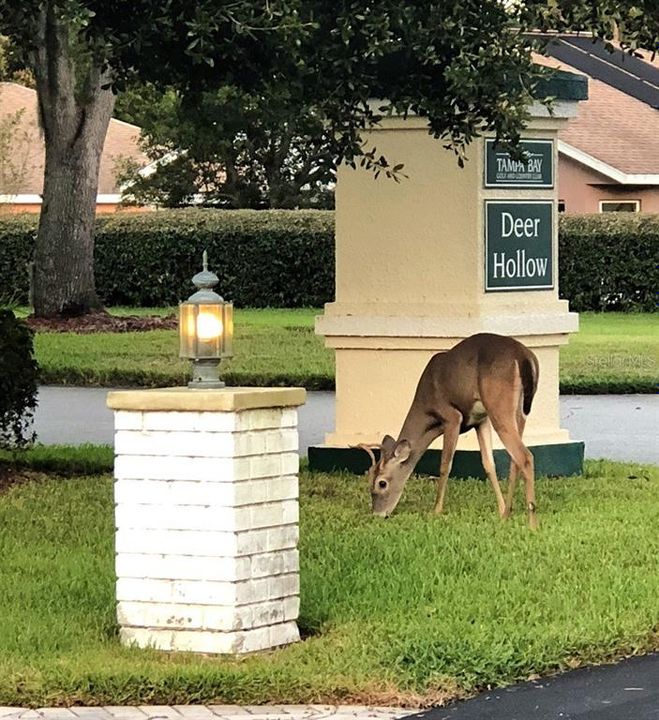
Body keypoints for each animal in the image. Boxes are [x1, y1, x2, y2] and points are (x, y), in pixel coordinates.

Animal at [356, 332, 540, 528]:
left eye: (381, 483)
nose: (378, 514)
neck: (426, 407)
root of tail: (524, 357)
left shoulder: (452, 416)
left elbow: (445, 464)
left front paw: (436, 510)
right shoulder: (481, 420)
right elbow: (489, 464)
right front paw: (501, 508)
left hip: (499, 406)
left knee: (525, 457)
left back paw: (532, 525)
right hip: (519, 412)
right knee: (515, 460)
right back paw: (507, 515)